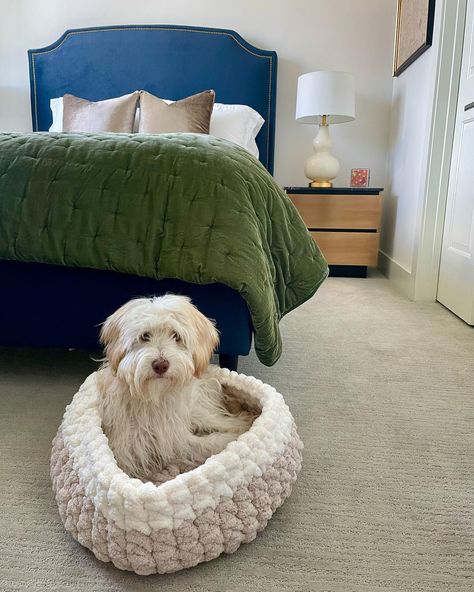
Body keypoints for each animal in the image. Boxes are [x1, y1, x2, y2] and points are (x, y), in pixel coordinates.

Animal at [97, 294, 260, 480]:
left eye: (176, 336)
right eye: (145, 336)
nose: (161, 365)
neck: (155, 397)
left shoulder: (174, 436)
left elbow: (206, 443)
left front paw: (234, 439)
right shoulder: (128, 452)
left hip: (195, 410)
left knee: (219, 418)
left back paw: (245, 422)